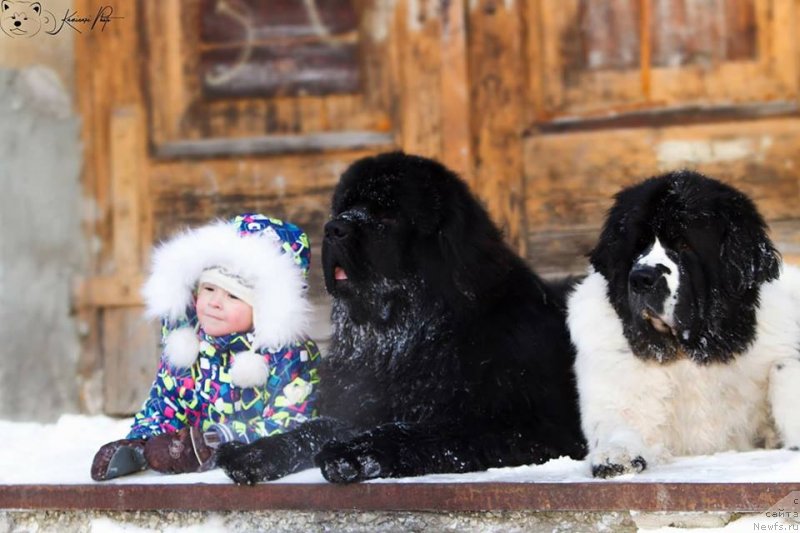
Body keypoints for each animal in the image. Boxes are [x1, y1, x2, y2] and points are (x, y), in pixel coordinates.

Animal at [216, 152, 584, 484]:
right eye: (342, 208)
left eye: (387, 216)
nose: (333, 228)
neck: (404, 339)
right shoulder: (371, 401)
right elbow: (316, 428)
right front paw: (257, 451)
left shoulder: (525, 424)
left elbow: (421, 431)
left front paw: (352, 453)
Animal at [568, 170, 800, 478]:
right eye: (637, 246)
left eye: (684, 245)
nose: (642, 278)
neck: (689, 353)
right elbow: (618, 420)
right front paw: (615, 455)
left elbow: (783, 371)